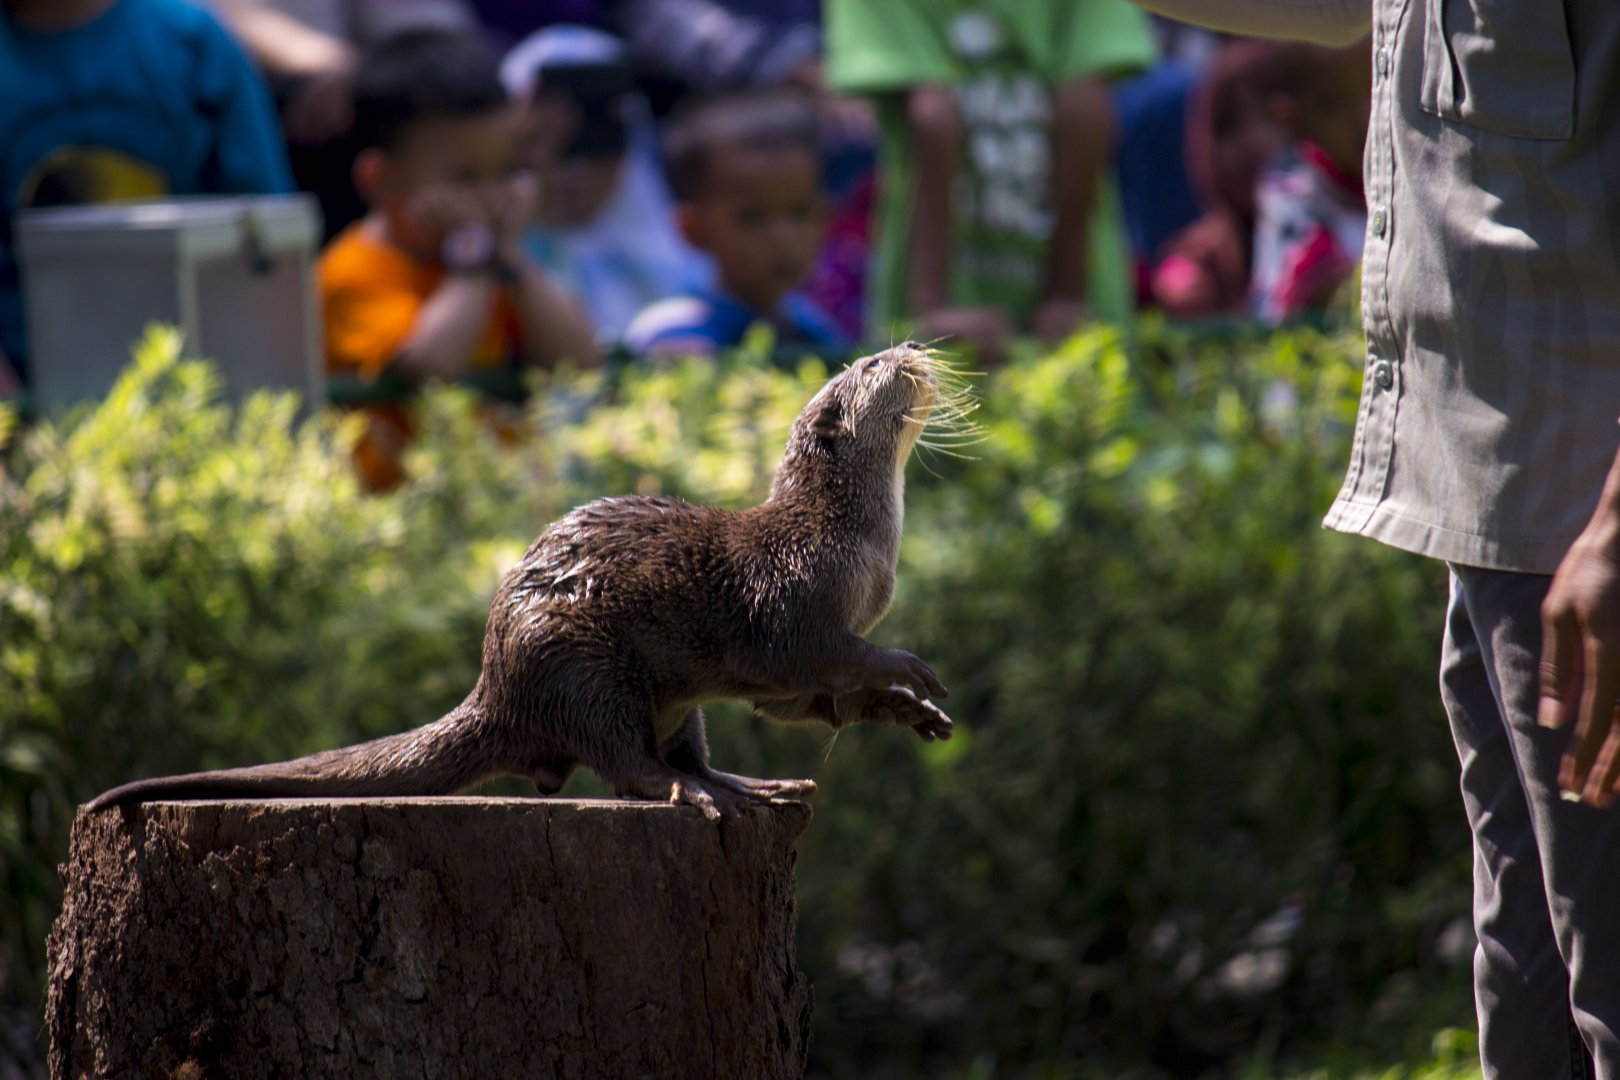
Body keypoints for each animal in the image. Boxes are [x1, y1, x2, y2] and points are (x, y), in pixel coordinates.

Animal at [88, 342, 965, 820]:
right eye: (871, 366)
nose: (911, 351)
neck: (854, 542)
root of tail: (494, 679)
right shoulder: (790, 604)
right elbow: (814, 655)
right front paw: (907, 669)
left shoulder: (785, 667)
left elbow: (802, 701)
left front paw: (902, 709)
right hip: (576, 663)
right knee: (629, 762)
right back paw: (702, 796)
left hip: (668, 696)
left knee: (684, 750)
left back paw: (752, 784)